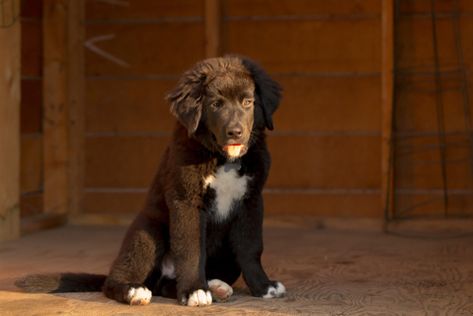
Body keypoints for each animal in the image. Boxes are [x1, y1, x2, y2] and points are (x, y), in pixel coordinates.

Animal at [15, 56, 284, 306]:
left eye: (248, 102)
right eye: (215, 104)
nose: (235, 132)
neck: (223, 158)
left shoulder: (251, 201)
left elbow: (250, 248)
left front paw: (263, 286)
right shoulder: (186, 200)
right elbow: (191, 248)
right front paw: (195, 291)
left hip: (224, 252)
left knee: (166, 285)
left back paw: (215, 286)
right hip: (147, 233)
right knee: (116, 281)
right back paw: (135, 290)